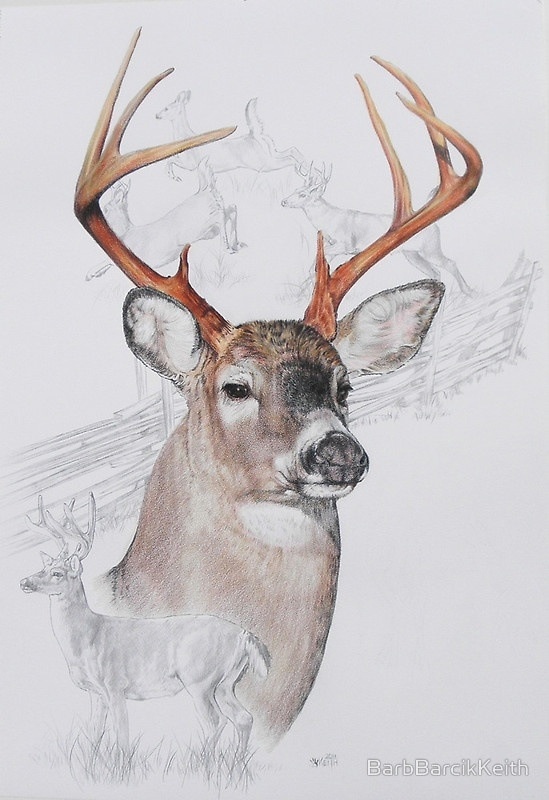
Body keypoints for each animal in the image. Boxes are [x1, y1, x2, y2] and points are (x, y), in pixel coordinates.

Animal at [21, 495, 270, 757]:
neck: (89, 638)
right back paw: (235, 762)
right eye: (43, 567)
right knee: (243, 718)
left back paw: (204, 761)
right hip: (226, 682)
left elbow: (122, 735)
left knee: (216, 721)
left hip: (200, 679)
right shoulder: (95, 693)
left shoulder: (115, 685)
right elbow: (94, 732)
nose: (24, 582)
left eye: (57, 573)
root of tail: (244, 634)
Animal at [156, 89, 305, 176]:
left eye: (167, 108)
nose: (156, 115)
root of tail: (254, 135)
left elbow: (170, 160)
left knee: (289, 159)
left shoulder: (191, 164)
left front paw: (173, 176)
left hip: (263, 163)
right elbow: (170, 160)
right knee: (292, 150)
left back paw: (301, 172)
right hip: (270, 152)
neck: (185, 137)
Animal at [281, 162, 476, 296]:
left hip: (431, 248)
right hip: (412, 254)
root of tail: (435, 225)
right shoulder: (332, 244)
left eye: (303, 194)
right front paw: (300, 292)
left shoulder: (346, 243)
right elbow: (316, 265)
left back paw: (468, 291)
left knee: (449, 263)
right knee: (434, 271)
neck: (328, 219)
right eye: (297, 189)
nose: (284, 201)